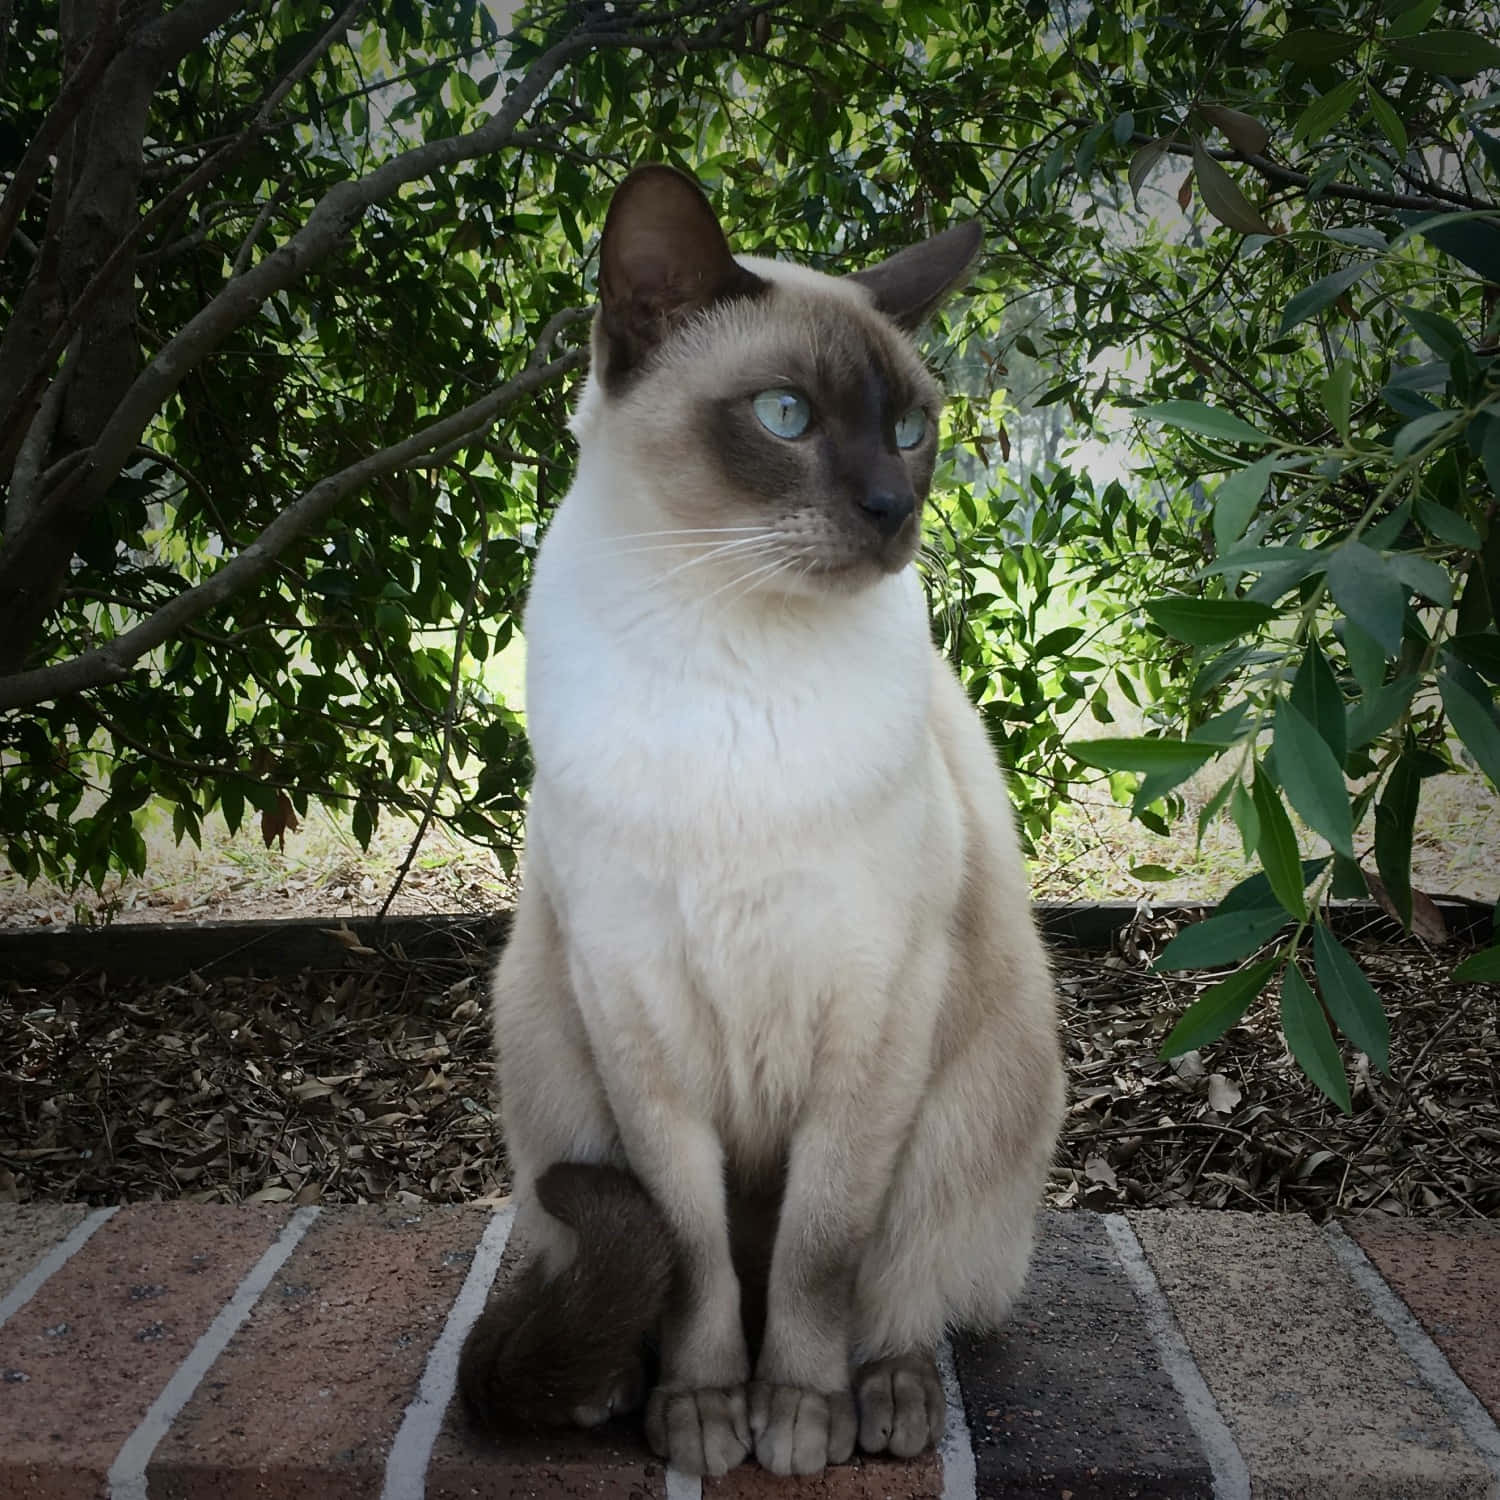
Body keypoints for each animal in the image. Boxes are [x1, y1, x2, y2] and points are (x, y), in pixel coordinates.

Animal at [459, 164, 1068, 1476]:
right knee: (627, 1269)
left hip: (962, 1110)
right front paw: (705, 1417)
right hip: (549, 1058)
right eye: (786, 418)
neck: (729, 646)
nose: (892, 509)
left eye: (911, 429)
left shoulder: (872, 1008)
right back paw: (609, 1393)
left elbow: (816, 1256)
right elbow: (694, 1262)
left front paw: (792, 1418)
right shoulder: (634, 1011)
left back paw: (885, 1404)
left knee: (901, 1294)